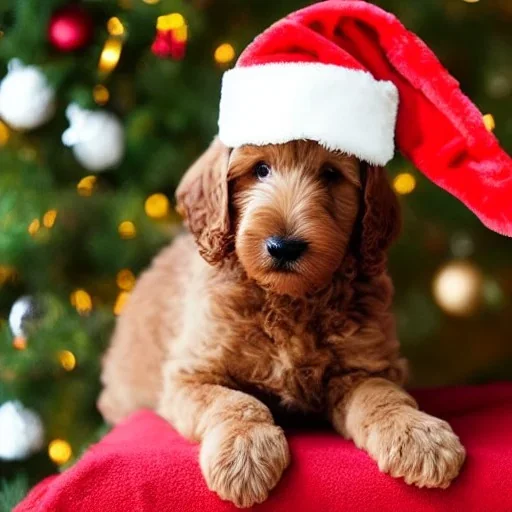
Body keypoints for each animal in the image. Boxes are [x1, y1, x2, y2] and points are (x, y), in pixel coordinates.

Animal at [98, 139, 466, 508]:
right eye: (260, 169)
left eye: (330, 174)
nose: (284, 247)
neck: (289, 300)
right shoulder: (190, 375)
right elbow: (234, 402)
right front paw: (243, 452)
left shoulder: (365, 365)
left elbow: (381, 395)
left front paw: (420, 436)